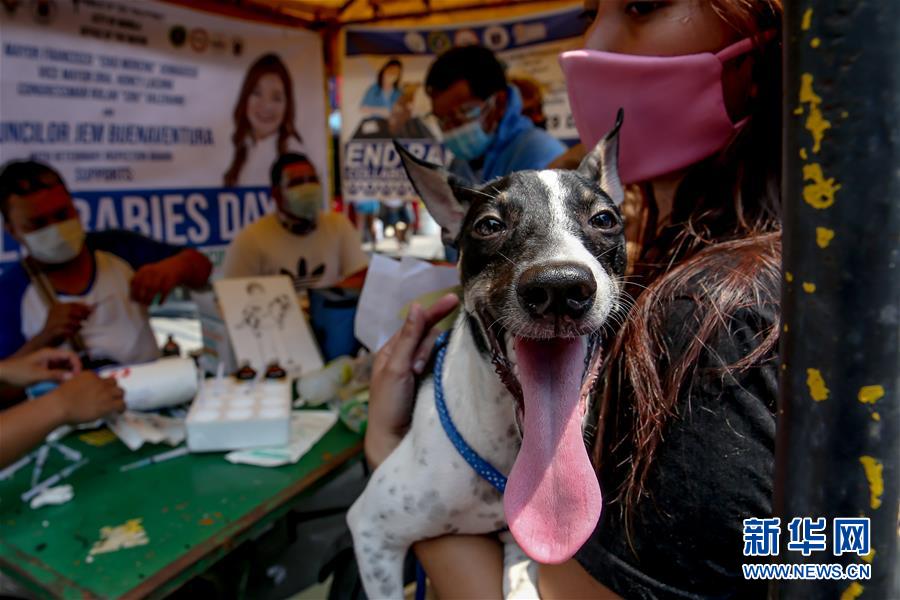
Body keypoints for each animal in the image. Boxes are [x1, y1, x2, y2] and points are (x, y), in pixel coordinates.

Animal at [350, 113, 624, 600]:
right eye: (489, 225)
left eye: (604, 218)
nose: (559, 287)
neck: (510, 450)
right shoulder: (371, 529)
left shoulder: (523, 542)